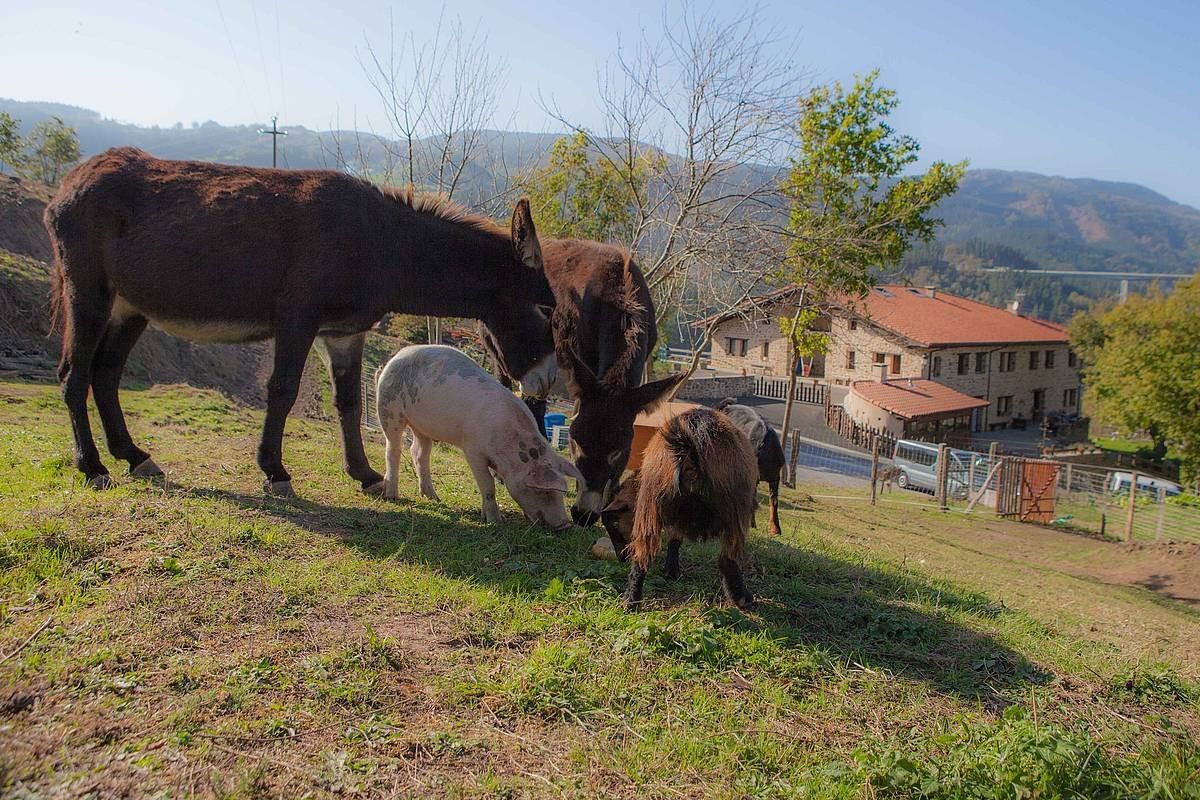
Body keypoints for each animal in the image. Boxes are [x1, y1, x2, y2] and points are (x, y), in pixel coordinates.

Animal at [374, 345, 580, 527]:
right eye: (544, 492)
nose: (564, 525)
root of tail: (394, 358)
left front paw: (485, 515)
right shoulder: (472, 449)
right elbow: (488, 484)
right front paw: (495, 521)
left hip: (422, 426)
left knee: (418, 453)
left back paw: (434, 498)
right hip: (389, 408)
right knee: (393, 449)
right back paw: (392, 495)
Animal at [600, 410, 758, 609]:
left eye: (614, 524)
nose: (621, 558)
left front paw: (671, 571)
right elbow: (675, 540)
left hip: (652, 504)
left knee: (643, 558)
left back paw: (630, 601)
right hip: (734, 512)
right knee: (727, 559)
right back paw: (742, 598)